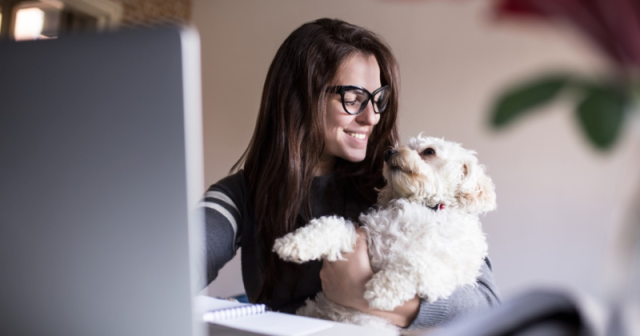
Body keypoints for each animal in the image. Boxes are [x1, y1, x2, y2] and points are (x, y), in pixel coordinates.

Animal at [272, 135, 498, 330]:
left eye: (429, 151)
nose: (388, 152)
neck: (425, 207)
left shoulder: (447, 270)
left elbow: (415, 261)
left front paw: (383, 290)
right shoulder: (365, 236)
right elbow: (333, 225)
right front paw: (293, 244)